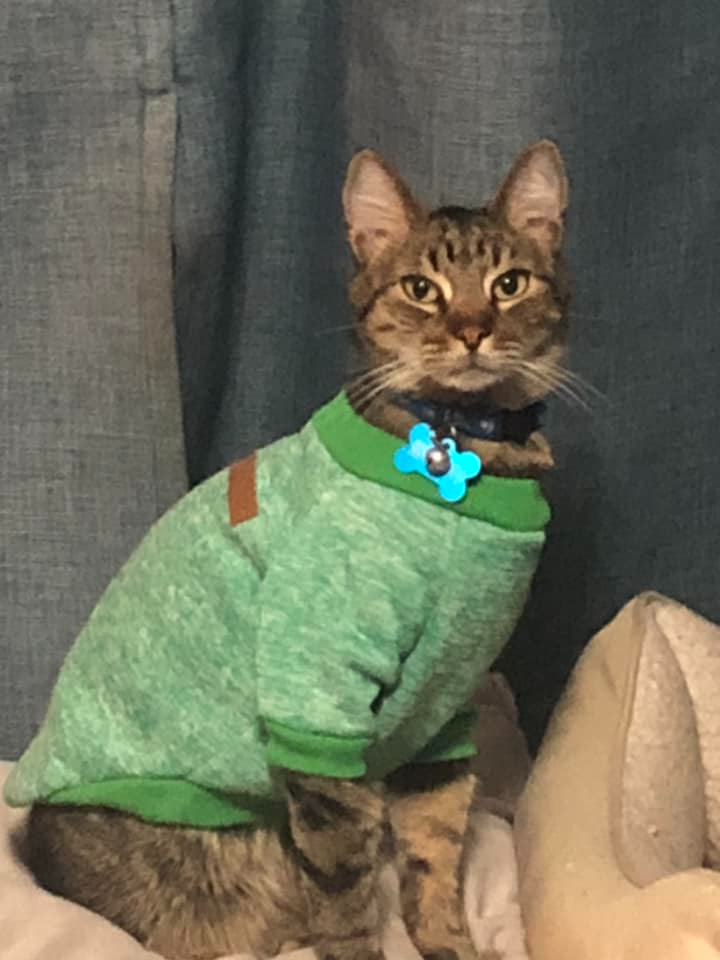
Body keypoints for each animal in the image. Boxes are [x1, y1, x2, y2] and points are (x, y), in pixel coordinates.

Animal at [15, 141, 568, 960]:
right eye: (421, 289)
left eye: (510, 283)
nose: (472, 329)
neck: (465, 454)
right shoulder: (318, 697)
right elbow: (345, 885)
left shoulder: (446, 706)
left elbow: (434, 856)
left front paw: (450, 943)